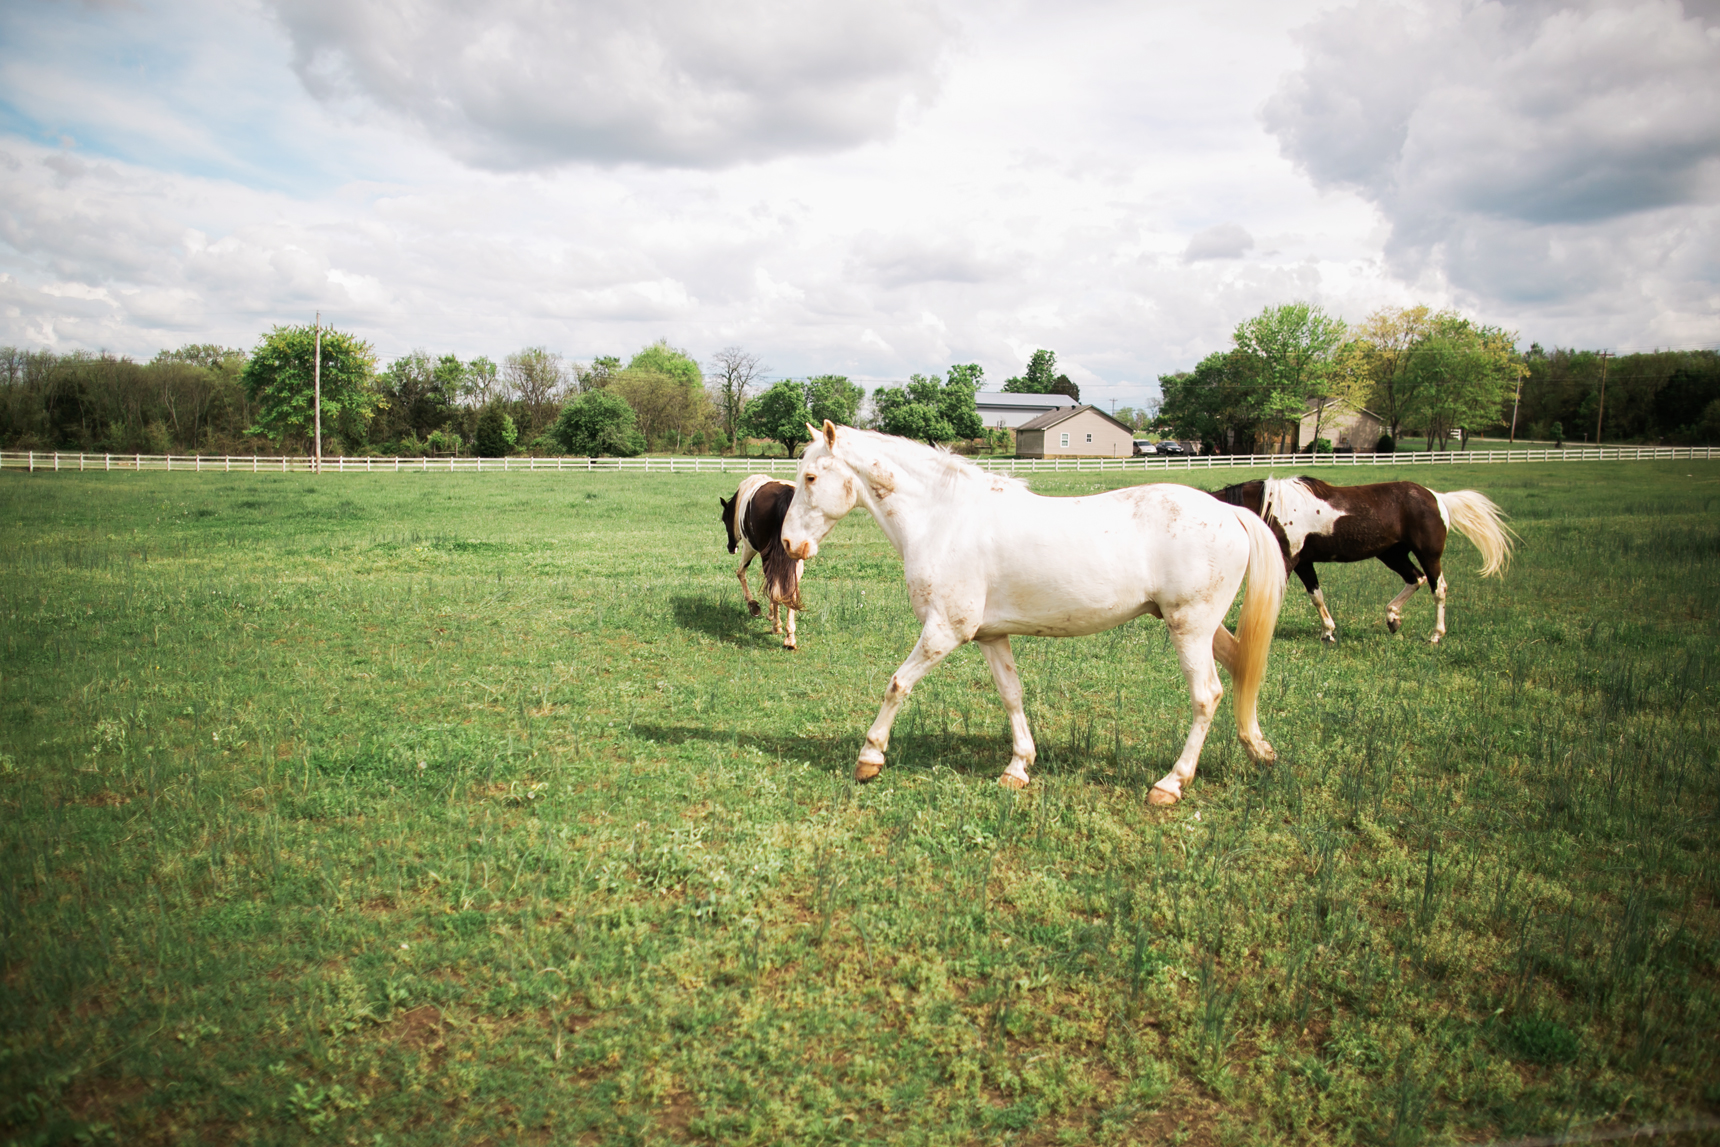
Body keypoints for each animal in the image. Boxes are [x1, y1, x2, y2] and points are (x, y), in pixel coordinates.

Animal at [722, 474, 808, 650]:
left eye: (724, 519)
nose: (730, 547)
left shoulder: (749, 547)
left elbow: (740, 573)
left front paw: (754, 605)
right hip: (795, 558)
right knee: (790, 591)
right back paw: (790, 637)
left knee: (774, 588)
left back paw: (777, 627)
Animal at [787, 421, 1286, 808]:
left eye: (810, 476)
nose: (791, 544)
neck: (943, 520)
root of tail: (1228, 511)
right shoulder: (990, 636)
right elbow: (1012, 695)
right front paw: (1018, 768)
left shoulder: (945, 631)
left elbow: (897, 685)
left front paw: (869, 758)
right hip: (1202, 628)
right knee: (1243, 671)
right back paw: (1260, 750)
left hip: (1190, 628)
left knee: (1207, 696)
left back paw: (1171, 784)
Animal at [1217, 474, 1513, 646]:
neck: (1269, 506)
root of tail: (1437, 497)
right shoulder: (1303, 562)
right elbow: (1317, 596)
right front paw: (1328, 632)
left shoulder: (1288, 559)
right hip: (1392, 554)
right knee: (1415, 578)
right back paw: (1393, 618)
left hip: (1429, 554)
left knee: (1437, 587)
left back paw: (1436, 635)